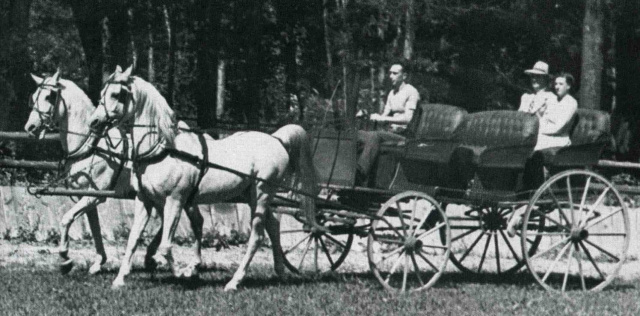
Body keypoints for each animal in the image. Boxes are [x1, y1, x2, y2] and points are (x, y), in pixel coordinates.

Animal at [23, 71, 204, 276]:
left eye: (50, 96)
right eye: (34, 97)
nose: (30, 127)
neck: (92, 146)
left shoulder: (94, 196)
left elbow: (66, 219)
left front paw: (65, 259)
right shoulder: (85, 196)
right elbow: (94, 228)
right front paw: (98, 262)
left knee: (190, 221)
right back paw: (152, 257)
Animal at [87, 66, 322, 292]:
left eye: (117, 94)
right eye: (103, 93)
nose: (94, 122)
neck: (163, 149)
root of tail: (276, 139)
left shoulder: (175, 200)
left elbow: (165, 246)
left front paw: (183, 273)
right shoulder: (144, 200)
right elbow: (133, 239)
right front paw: (120, 279)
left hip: (262, 194)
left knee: (257, 237)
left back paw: (234, 282)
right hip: (251, 196)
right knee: (273, 226)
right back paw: (280, 272)